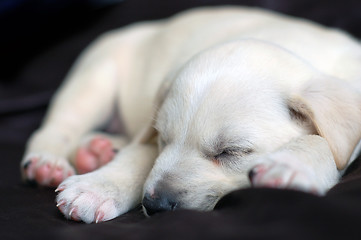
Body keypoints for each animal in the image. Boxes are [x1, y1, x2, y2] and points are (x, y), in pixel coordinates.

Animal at [20, 6, 360, 223]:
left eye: (230, 152)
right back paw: (49, 164)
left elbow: (324, 143)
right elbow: (139, 156)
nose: (154, 204)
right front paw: (97, 188)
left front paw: (289, 165)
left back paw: (98, 150)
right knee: (58, 127)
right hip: (95, 78)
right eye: (163, 139)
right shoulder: (148, 136)